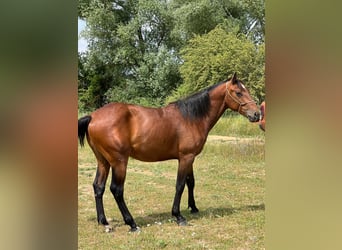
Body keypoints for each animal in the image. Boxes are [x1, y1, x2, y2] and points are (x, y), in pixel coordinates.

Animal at [78, 72, 260, 232]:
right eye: (238, 92)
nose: (257, 114)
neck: (191, 118)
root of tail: (92, 116)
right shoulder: (185, 158)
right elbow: (180, 185)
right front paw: (178, 216)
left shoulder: (190, 158)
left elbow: (190, 182)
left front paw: (193, 207)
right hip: (119, 162)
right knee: (116, 190)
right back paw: (132, 223)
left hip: (103, 161)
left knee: (98, 187)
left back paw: (103, 221)